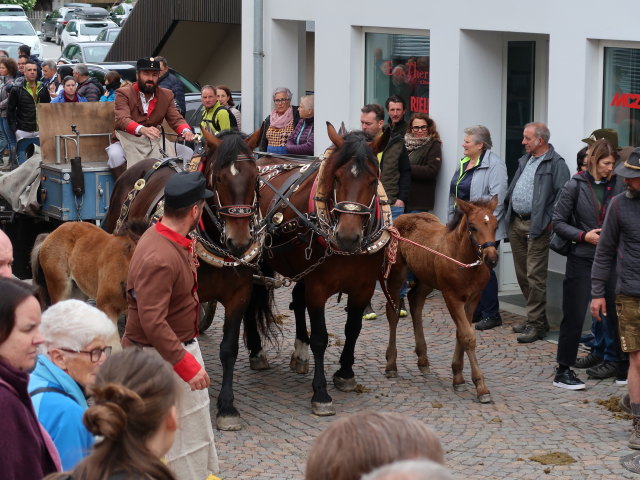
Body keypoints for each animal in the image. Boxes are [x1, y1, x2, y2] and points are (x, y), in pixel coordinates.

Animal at [104, 128, 276, 432]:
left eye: (256, 177)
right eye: (218, 179)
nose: (240, 241)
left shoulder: (239, 294)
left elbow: (229, 348)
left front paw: (227, 406)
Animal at [246, 124, 388, 416]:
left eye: (373, 180)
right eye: (336, 178)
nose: (347, 237)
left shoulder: (364, 287)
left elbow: (353, 329)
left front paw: (345, 374)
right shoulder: (318, 288)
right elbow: (321, 338)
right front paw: (321, 393)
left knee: (296, 300)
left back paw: (299, 353)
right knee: (250, 300)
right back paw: (257, 351)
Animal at [382, 197, 498, 404]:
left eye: (495, 225)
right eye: (472, 226)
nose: (491, 258)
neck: (463, 261)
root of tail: (402, 216)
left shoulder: (473, 298)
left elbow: (461, 333)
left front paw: (458, 377)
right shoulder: (451, 296)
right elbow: (467, 336)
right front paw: (481, 387)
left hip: (427, 279)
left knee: (415, 301)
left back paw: (423, 359)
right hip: (396, 274)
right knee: (393, 312)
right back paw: (391, 365)